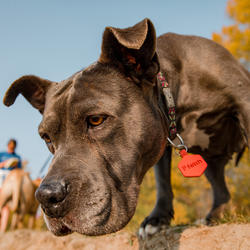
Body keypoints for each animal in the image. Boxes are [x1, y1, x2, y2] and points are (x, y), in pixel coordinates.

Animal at [2, 18, 249, 237]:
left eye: (96, 120)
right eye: (46, 137)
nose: (47, 197)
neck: (173, 93)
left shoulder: (243, 103)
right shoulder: (161, 139)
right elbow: (163, 182)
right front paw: (157, 219)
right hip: (209, 163)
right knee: (222, 192)